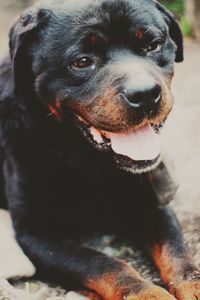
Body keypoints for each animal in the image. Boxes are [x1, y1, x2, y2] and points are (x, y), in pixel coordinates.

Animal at [0, 0, 200, 298]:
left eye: (152, 45)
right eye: (82, 62)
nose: (144, 93)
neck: (90, 163)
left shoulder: (149, 198)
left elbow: (175, 248)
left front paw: (193, 282)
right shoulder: (36, 232)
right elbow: (102, 263)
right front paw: (145, 292)